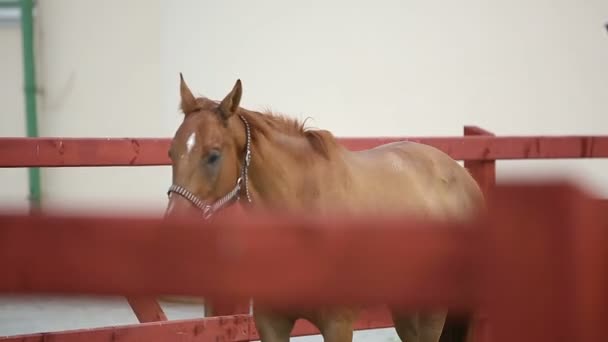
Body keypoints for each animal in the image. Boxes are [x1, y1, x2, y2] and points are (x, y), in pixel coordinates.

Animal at [165, 75, 484, 342]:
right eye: (171, 152)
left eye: (213, 155)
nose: (173, 229)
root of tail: (465, 179)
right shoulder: (271, 322)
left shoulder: (338, 325)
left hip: (434, 309)